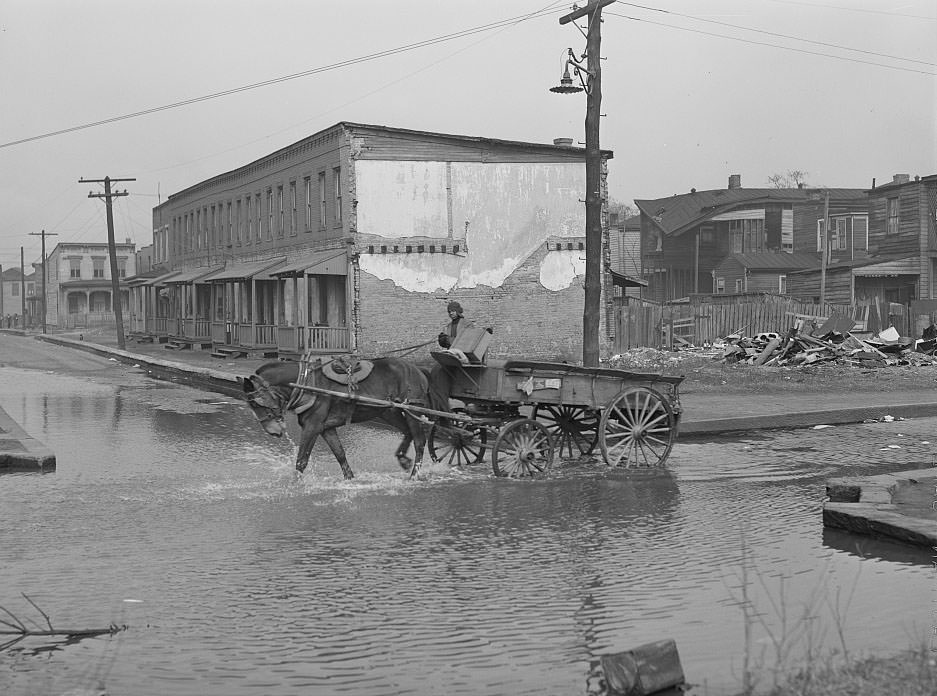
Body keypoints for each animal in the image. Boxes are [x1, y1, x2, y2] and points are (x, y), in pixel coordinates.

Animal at [241, 358, 432, 478]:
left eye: (257, 403)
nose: (272, 431)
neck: (306, 383)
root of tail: (417, 369)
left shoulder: (312, 426)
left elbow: (301, 461)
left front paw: (295, 484)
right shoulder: (326, 428)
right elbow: (340, 455)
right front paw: (350, 479)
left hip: (412, 410)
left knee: (419, 441)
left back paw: (415, 475)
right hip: (388, 411)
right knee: (408, 432)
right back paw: (403, 459)